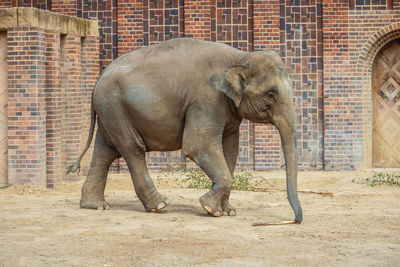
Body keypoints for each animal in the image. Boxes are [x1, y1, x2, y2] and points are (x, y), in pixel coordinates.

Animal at [69, 36, 302, 223]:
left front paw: (226, 212)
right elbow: (197, 145)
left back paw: (96, 206)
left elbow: (230, 150)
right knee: (132, 149)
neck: (240, 56)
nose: (296, 220)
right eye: (271, 96)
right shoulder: (207, 99)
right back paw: (159, 205)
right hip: (115, 109)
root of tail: (99, 77)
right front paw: (209, 208)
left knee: (105, 152)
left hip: (110, 111)